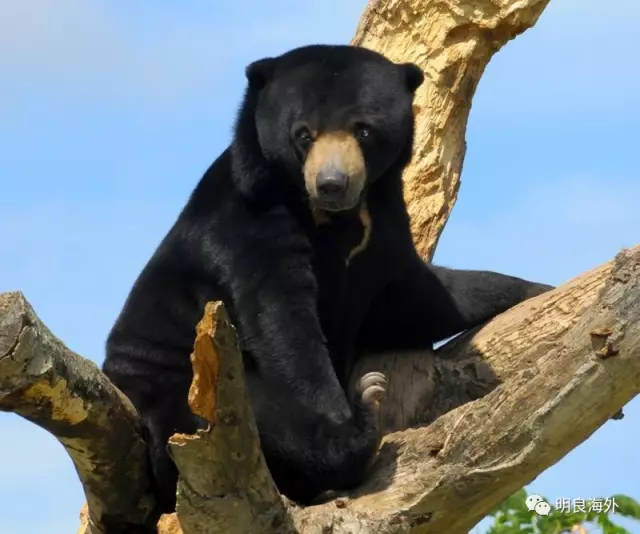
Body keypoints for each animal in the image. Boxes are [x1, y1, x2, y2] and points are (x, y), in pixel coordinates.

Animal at [102, 44, 552, 520]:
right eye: (303, 134)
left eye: (364, 130)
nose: (332, 184)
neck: (335, 217)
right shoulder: (249, 222)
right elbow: (285, 324)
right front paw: (349, 427)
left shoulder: (384, 226)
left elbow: (413, 298)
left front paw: (537, 290)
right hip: (181, 388)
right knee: (259, 413)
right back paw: (361, 423)